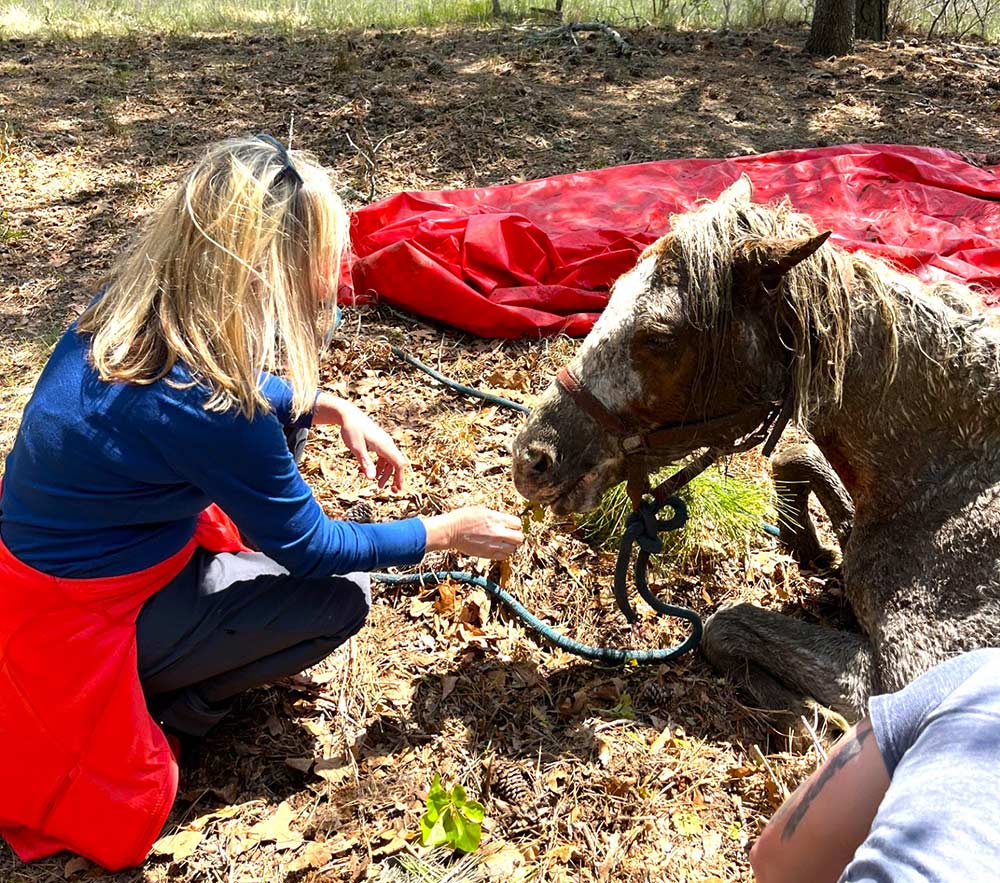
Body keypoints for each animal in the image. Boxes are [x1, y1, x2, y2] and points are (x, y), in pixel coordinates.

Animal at [512, 176, 1000, 720]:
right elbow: (793, 460)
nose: (531, 458)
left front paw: (802, 715)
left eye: (660, 337)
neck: (939, 477)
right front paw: (817, 540)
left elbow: (724, 624)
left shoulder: (910, 682)